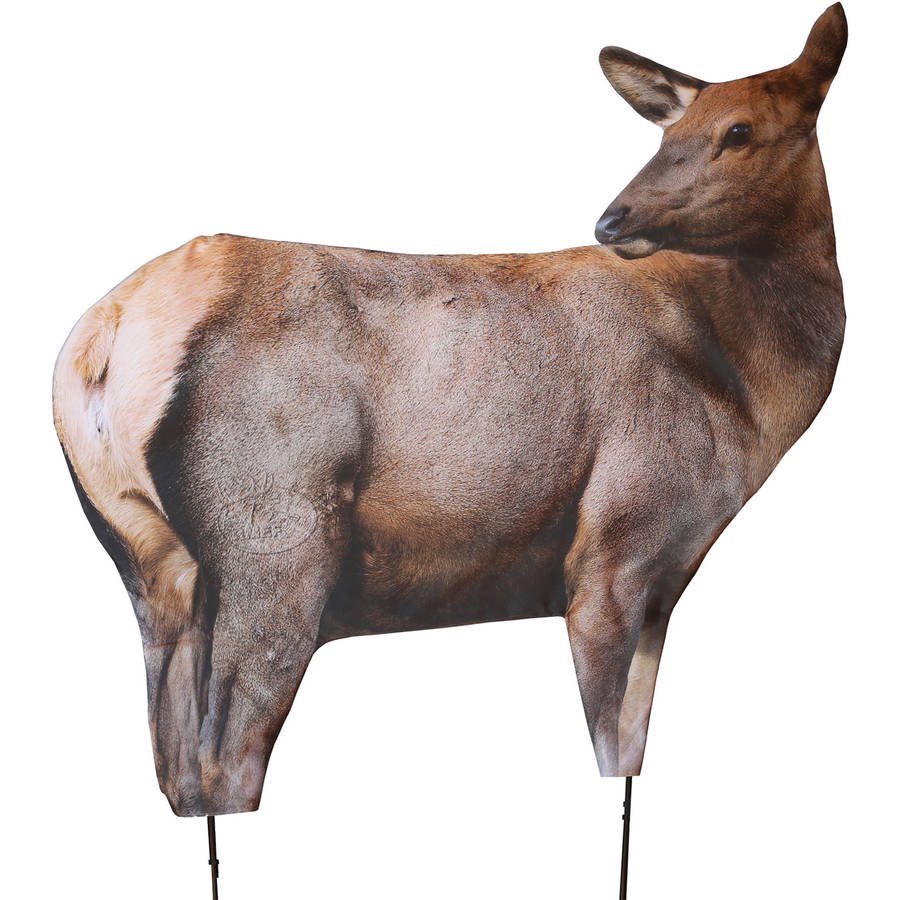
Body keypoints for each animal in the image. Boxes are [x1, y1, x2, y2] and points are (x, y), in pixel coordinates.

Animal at [53, 5, 847, 818]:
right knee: (225, 764)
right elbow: (610, 752)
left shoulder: (663, 582)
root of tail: (101, 339)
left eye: (738, 131)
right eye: (671, 133)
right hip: (274, 542)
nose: (613, 219)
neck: (747, 391)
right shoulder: (613, 551)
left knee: (175, 771)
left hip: (149, 566)